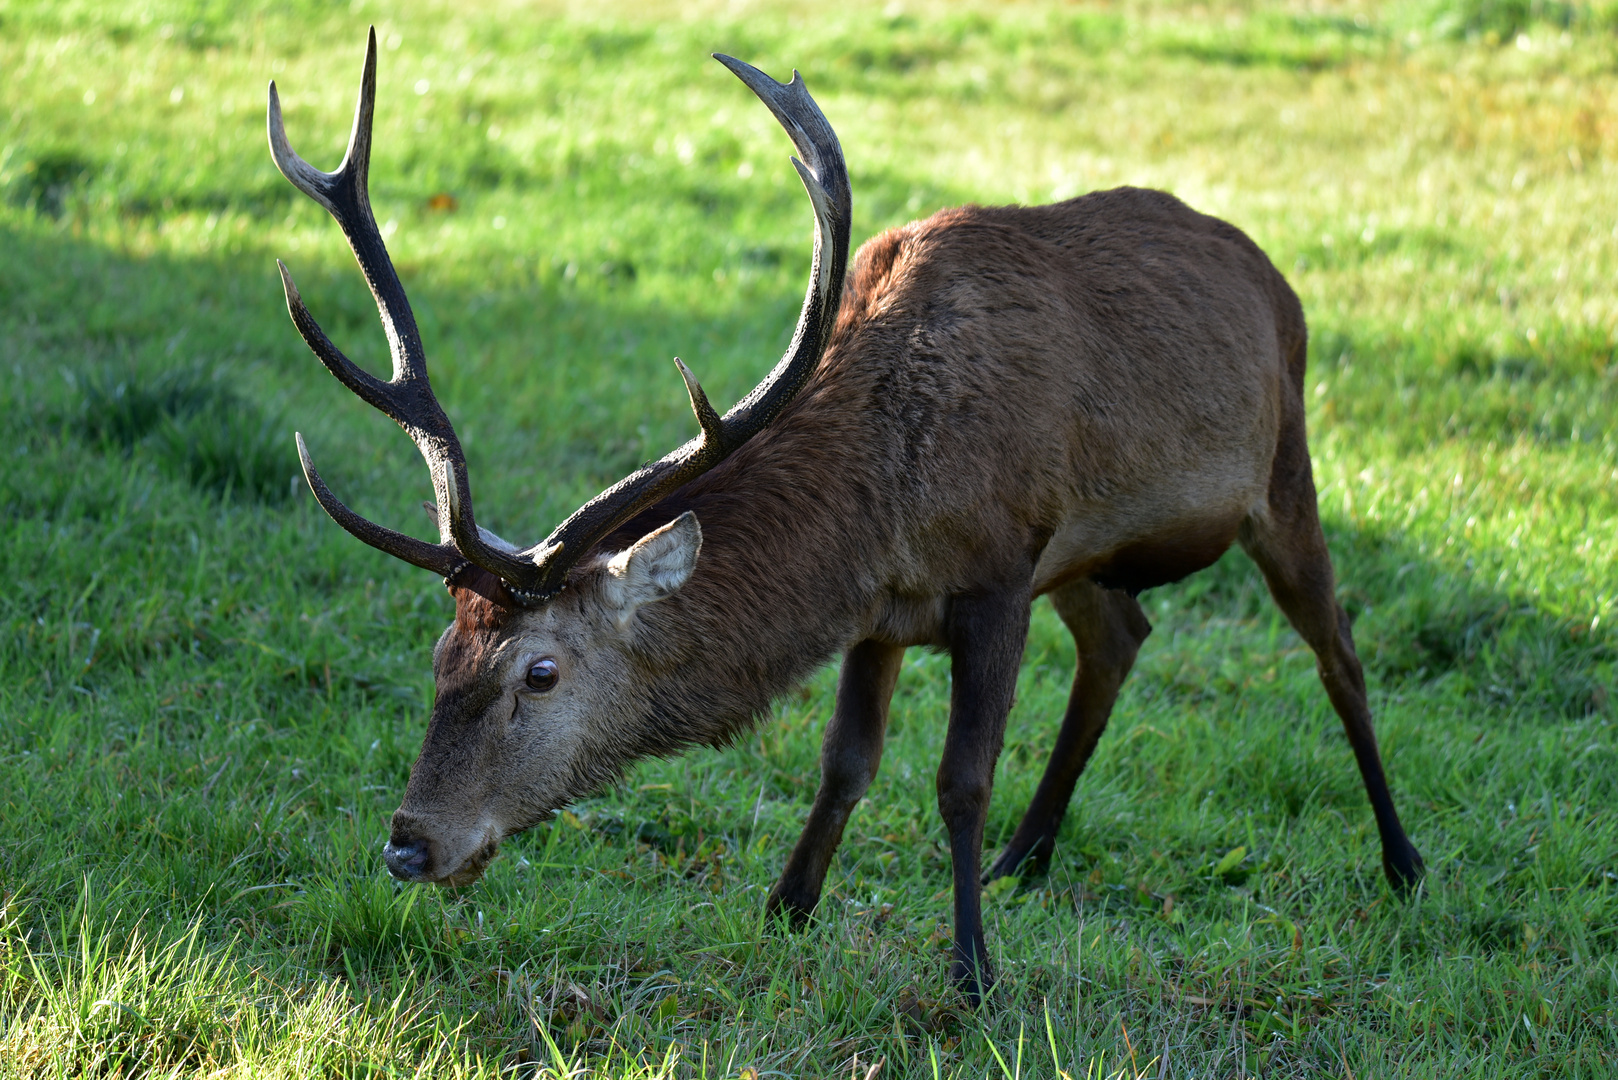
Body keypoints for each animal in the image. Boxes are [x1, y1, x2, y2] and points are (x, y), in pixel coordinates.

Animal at [271, 31, 1423, 1003]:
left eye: (540, 672)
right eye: (439, 656)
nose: (409, 843)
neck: (885, 491)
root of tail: (1268, 269)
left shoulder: (999, 572)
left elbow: (960, 777)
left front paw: (971, 972)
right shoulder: (884, 612)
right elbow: (845, 764)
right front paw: (787, 908)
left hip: (1284, 467)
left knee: (1337, 647)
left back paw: (1402, 860)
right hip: (1089, 558)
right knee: (1123, 633)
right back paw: (1027, 860)